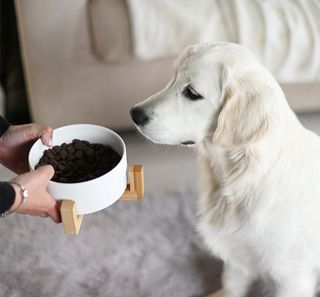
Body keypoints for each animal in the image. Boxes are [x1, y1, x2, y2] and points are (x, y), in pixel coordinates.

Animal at [130, 42, 320, 296]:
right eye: (173, 78)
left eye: (192, 93)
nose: (134, 114)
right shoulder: (237, 255)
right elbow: (231, 284)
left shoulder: (292, 276)